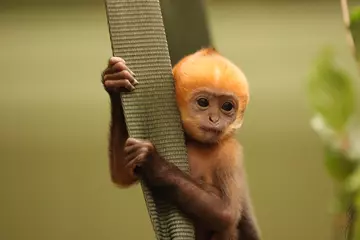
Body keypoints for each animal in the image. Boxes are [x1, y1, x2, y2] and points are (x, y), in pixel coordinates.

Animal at [101, 47, 262, 239]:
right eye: (203, 102)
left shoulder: (230, 152)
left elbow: (226, 213)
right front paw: (115, 80)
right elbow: (122, 174)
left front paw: (152, 161)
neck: (196, 142)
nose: (214, 119)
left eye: (227, 107)